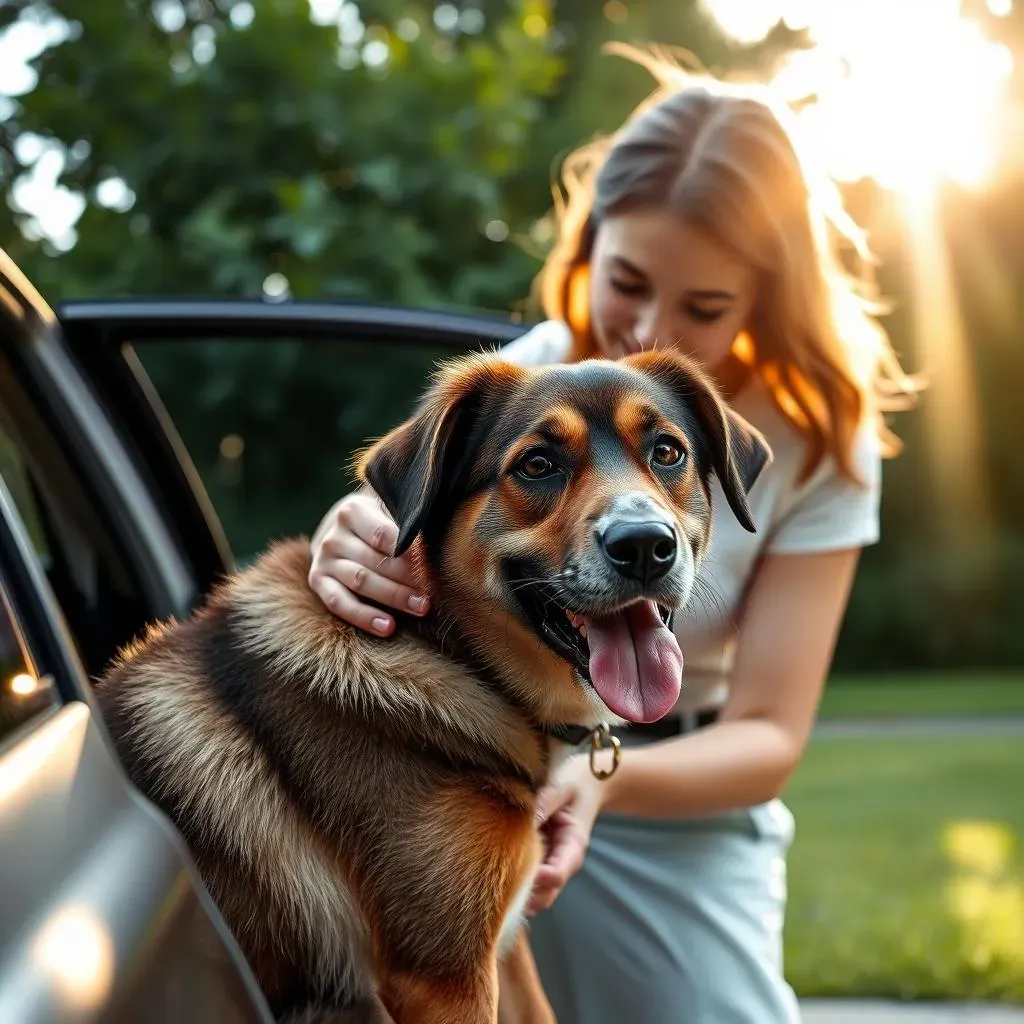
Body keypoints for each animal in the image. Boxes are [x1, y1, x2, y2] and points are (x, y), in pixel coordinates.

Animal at [94, 348, 770, 1019]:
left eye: (667, 452)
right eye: (537, 465)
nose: (645, 545)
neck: (449, 650)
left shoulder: (501, 945)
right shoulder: (444, 977)